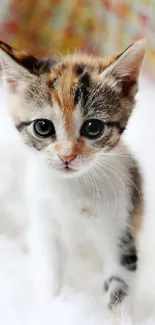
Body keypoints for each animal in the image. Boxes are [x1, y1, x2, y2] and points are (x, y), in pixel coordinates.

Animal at [0, 39, 145, 306]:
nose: (67, 156)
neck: (73, 187)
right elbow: (49, 272)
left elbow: (119, 286)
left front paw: (118, 313)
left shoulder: (120, 230)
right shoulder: (45, 224)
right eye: (43, 127)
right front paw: (52, 306)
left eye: (93, 127)